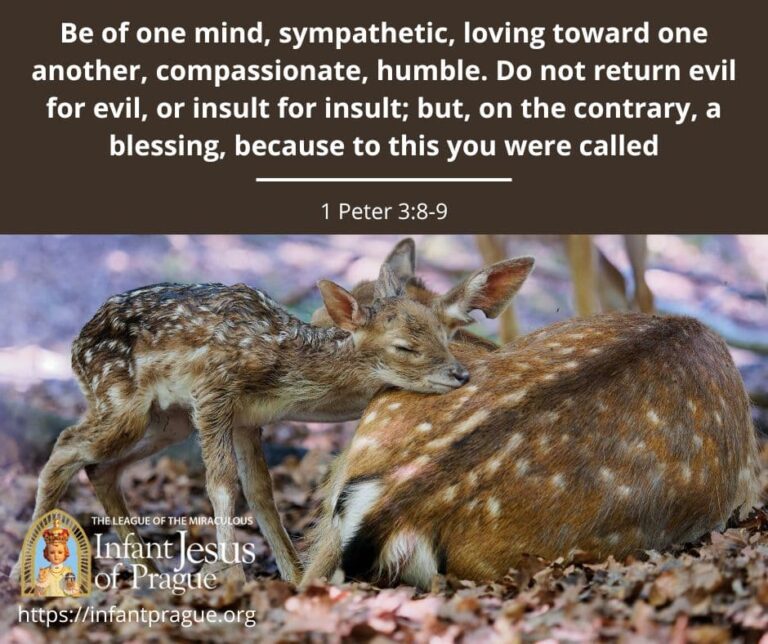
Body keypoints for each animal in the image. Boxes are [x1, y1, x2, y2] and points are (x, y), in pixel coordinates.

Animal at [12, 251, 532, 586]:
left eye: (445, 331)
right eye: (404, 347)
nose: (460, 373)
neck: (283, 370)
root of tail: (74, 349)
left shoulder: (246, 418)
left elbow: (262, 494)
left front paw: (293, 576)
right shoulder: (213, 391)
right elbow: (223, 485)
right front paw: (231, 576)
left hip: (165, 420)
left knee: (100, 466)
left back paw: (149, 574)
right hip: (121, 402)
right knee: (66, 444)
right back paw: (29, 569)